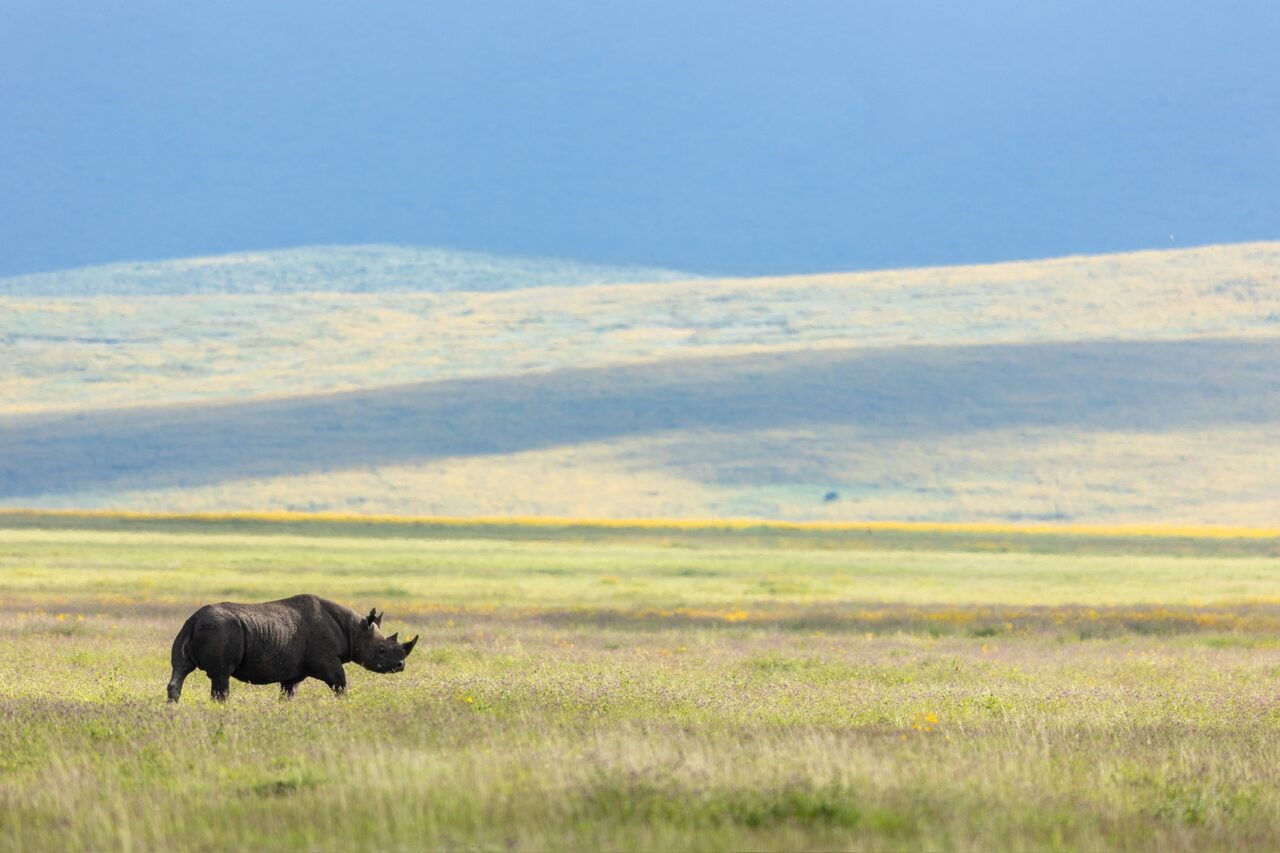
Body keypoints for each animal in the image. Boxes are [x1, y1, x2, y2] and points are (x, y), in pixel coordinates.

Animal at [166, 594, 418, 702]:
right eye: (382, 650)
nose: (401, 665)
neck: (354, 630)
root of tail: (195, 619)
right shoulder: (327, 660)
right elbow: (340, 683)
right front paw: (345, 703)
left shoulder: (293, 671)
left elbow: (288, 692)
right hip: (221, 630)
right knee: (221, 675)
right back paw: (222, 708)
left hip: (188, 629)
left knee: (180, 670)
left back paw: (173, 709)